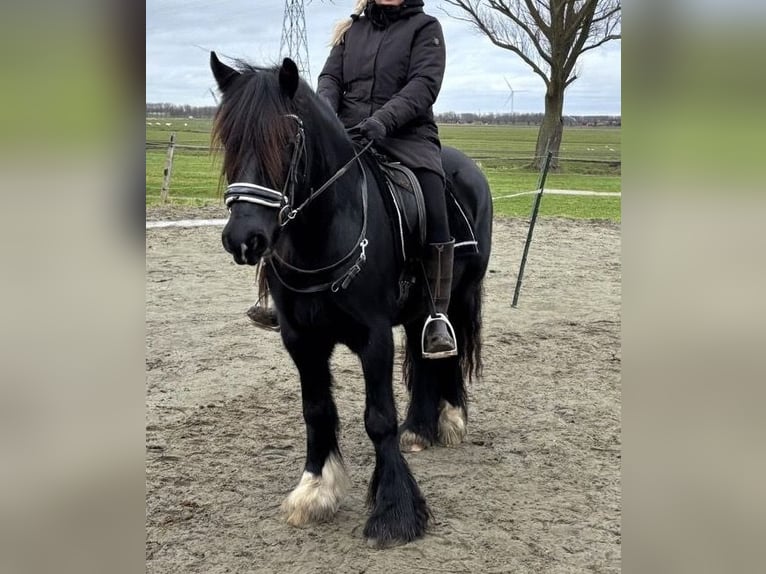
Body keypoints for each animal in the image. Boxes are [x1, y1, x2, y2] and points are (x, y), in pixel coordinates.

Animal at [212, 54, 492, 548]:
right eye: (229, 138)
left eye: (287, 141)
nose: (244, 238)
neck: (324, 232)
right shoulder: (301, 340)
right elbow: (316, 410)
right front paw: (315, 489)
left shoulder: (373, 338)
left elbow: (378, 417)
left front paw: (395, 512)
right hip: (419, 311)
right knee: (424, 357)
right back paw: (419, 428)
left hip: (460, 296)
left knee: (450, 355)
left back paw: (451, 418)